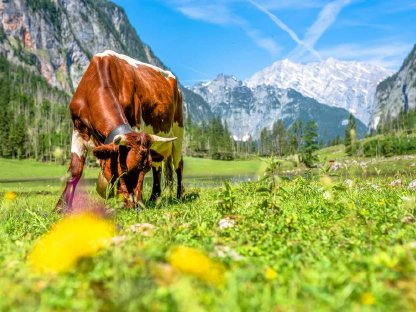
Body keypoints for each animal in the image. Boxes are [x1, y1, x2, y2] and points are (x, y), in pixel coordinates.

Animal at [55, 50, 184, 212]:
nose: (137, 206)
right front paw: (61, 207)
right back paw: (154, 198)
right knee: (158, 167)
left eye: (144, 170)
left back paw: (179, 196)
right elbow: (75, 170)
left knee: (178, 165)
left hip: (179, 131)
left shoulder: (136, 123)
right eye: (125, 170)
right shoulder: (78, 128)